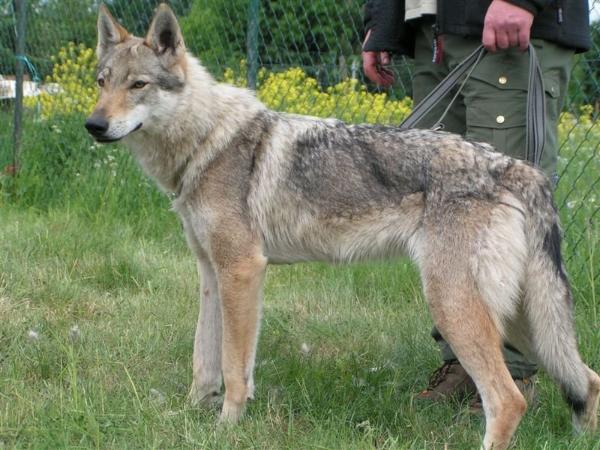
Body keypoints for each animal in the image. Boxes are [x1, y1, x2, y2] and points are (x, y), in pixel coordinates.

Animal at [85, 4, 600, 450]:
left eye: (139, 85)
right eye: (102, 82)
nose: (93, 124)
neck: (206, 141)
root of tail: (521, 170)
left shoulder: (242, 270)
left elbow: (234, 367)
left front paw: (227, 428)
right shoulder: (212, 274)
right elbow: (203, 360)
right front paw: (190, 415)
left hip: (456, 307)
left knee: (509, 400)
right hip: (520, 318)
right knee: (587, 379)